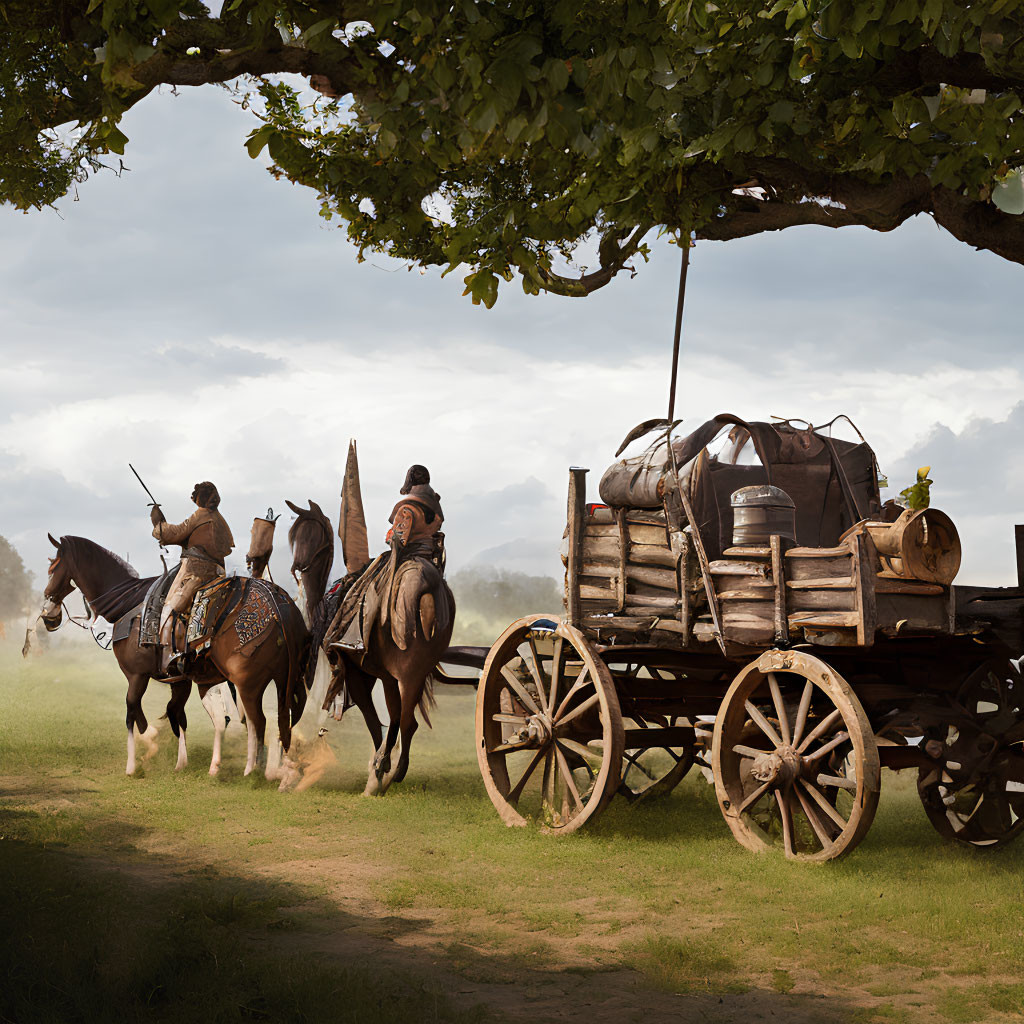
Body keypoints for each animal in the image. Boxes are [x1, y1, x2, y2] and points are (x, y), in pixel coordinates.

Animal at [37, 536, 309, 774]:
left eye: (53, 568)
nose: (48, 613)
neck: (130, 605)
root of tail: (279, 604)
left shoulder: (137, 675)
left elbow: (132, 709)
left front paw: (138, 757)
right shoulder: (181, 680)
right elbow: (176, 714)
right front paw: (180, 761)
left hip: (247, 683)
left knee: (257, 722)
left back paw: (252, 769)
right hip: (281, 680)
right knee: (277, 719)